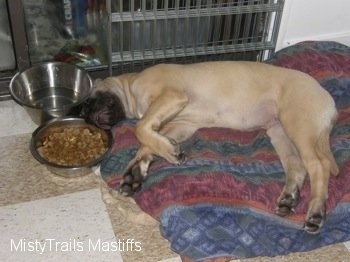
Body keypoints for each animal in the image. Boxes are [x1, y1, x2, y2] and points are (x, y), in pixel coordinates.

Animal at [82, 61, 340, 233]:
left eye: (88, 101)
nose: (86, 116)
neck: (131, 87)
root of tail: (328, 99)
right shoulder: (180, 125)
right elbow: (147, 142)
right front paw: (137, 171)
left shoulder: (171, 97)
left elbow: (141, 128)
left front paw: (165, 154)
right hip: (280, 133)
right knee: (298, 167)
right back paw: (288, 198)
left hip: (297, 124)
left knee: (319, 165)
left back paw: (316, 212)